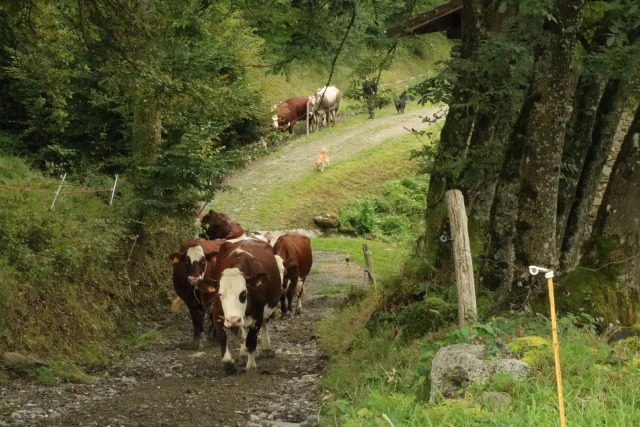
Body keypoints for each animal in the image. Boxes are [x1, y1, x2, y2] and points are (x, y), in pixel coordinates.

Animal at [196, 239, 282, 373]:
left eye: (244, 293)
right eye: (220, 294)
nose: (233, 320)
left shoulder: (258, 315)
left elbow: (251, 341)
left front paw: (251, 366)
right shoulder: (218, 314)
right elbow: (222, 337)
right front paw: (228, 363)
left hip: (266, 309)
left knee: (265, 324)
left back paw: (266, 348)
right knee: (243, 331)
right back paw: (243, 353)